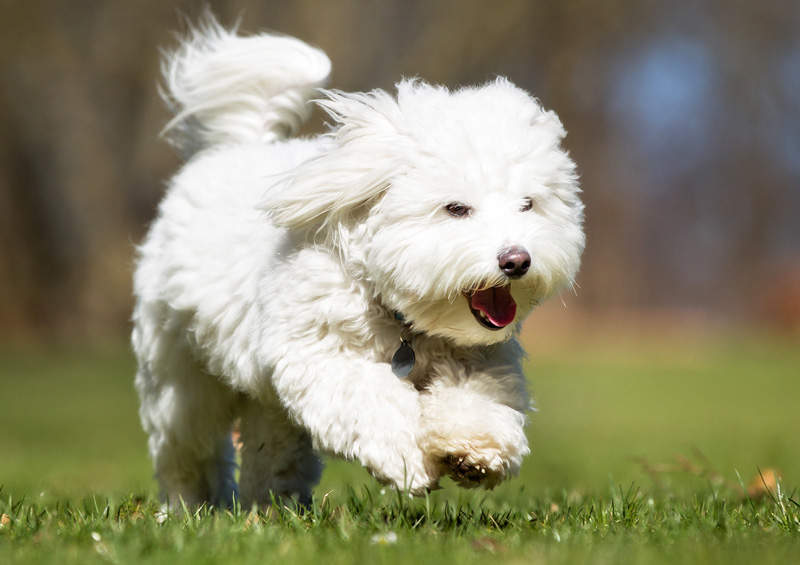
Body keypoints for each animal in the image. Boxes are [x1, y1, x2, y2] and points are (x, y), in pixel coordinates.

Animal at [130, 19, 580, 508]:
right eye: (456, 208)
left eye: (528, 205)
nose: (516, 260)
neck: (401, 318)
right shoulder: (321, 354)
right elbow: (373, 402)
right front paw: (408, 459)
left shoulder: (480, 359)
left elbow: (477, 399)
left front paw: (474, 449)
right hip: (179, 376)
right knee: (187, 447)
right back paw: (188, 505)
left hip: (265, 398)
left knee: (271, 445)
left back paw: (272, 504)